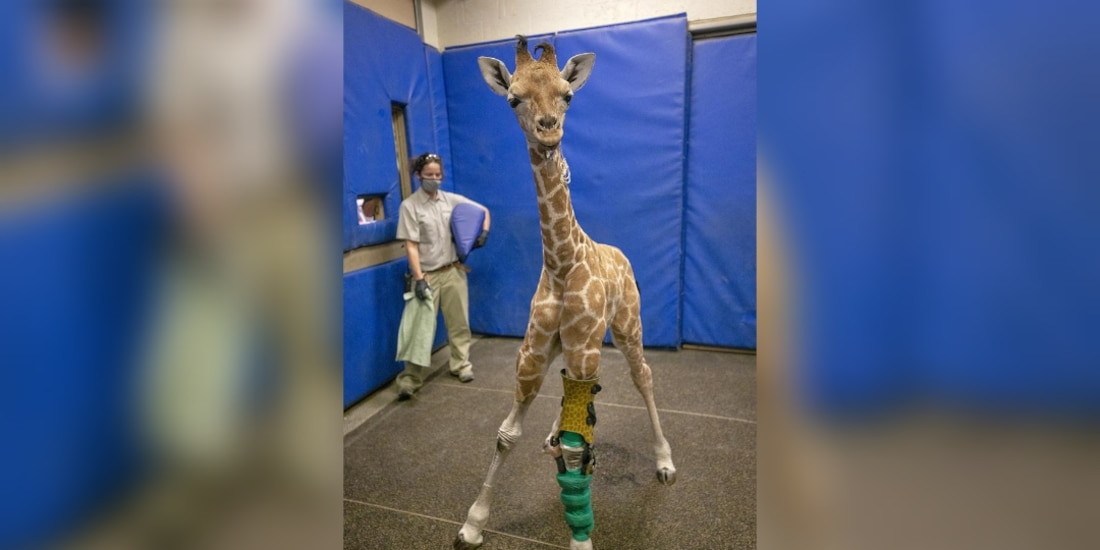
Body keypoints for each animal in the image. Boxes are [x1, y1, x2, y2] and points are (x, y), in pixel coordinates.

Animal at [454, 36, 676, 550]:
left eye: (567, 95)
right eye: (513, 98)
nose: (548, 129)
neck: (561, 263)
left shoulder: (582, 348)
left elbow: (579, 452)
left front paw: (581, 538)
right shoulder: (533, 352)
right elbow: (506, 434)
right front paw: (473, 523)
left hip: (626, 327)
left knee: (644, 378)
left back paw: (664, 462)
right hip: (573, 347)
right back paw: (551, 437)